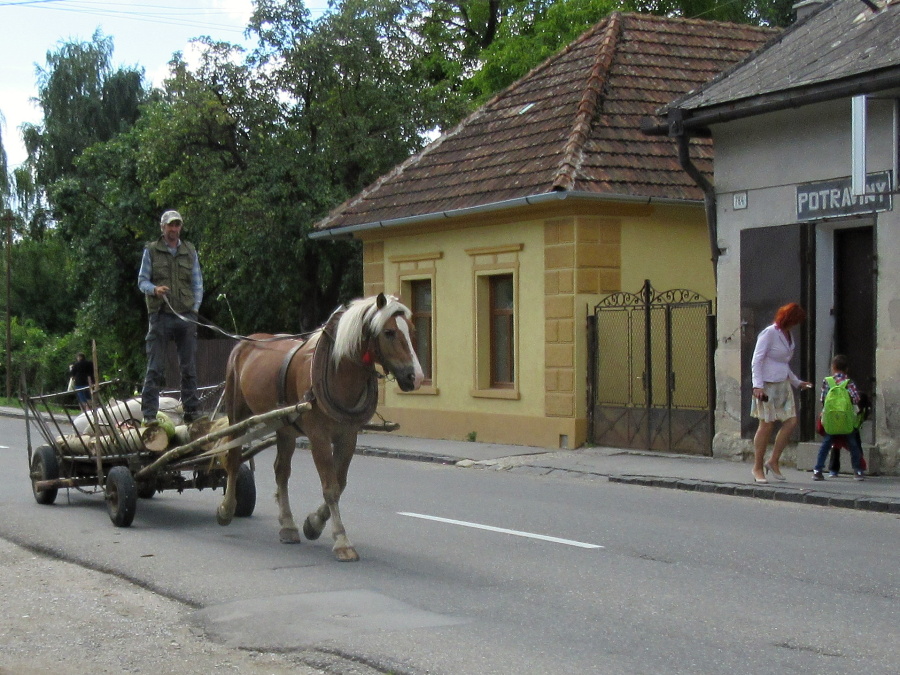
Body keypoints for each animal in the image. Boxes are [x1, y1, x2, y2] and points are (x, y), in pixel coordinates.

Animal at [221, 294, 426, 564]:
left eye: (412, 331)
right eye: (389, 332)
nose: (416, 377)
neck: (338, 372)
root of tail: (246, 342)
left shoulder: (347, 436)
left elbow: (340, 482)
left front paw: (313, 524)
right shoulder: (318, 437)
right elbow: (330, 487)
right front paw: (341, 541)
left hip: (285, 427)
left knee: (281, 472)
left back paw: (288, 525)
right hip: (236, 414)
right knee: (234, 459)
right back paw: (227, 508)